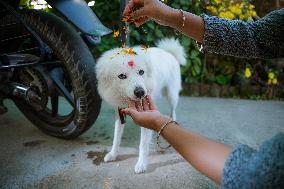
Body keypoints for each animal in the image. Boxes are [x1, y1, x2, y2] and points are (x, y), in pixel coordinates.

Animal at [95, 37, 186, 173]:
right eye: (122, 76)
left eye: (141, 72)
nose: (140, 92)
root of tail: (168, 52)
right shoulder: (119, 113)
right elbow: (116, 137)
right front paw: (113, 154)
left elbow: (143, 144)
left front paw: (141, 164)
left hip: (171, 94)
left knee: (173, 111)